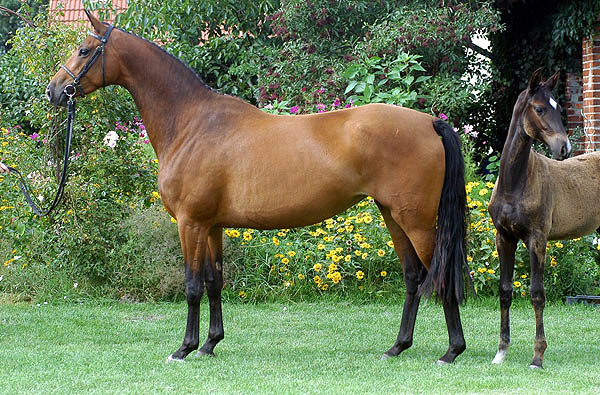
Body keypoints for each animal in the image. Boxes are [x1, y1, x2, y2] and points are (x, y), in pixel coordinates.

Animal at [488, 69, 600, 370]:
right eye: (539, 108)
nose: (564, 147)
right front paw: (501, 351)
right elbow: (504, 291)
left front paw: (537, 356)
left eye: (559, 108)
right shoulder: (504, 238)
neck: (515, 183)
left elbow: (537, 294)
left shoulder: (537, 239)